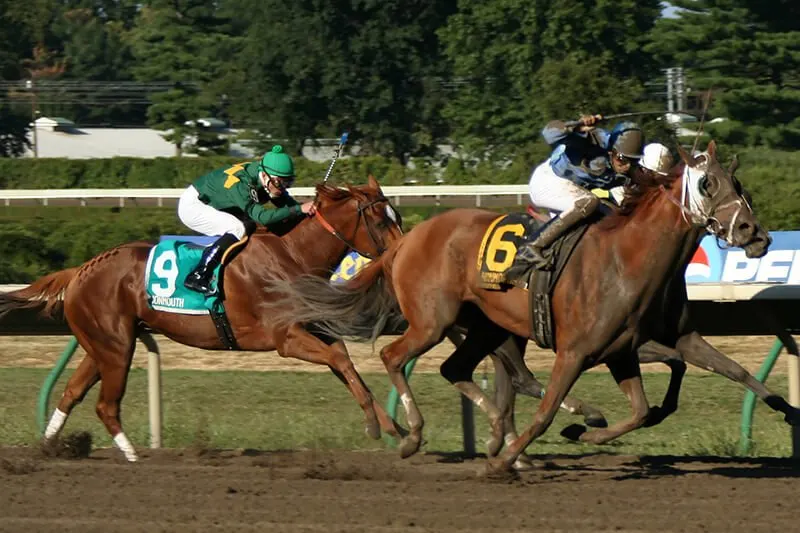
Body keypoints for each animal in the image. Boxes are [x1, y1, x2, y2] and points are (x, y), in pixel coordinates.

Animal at [0, 177, 404, 460]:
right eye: (380, 220)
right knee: (106, 405)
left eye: (396, 217)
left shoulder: (313, 327)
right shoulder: (286, 338)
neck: (292, 254)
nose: (403, 252)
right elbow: (340, 360)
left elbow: (345, 365)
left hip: (100, 344)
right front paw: (378, 425)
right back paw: (132, 457)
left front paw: (394, 426)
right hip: (116, 345)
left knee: (72, 392)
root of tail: (81, 269)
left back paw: (48, 449)